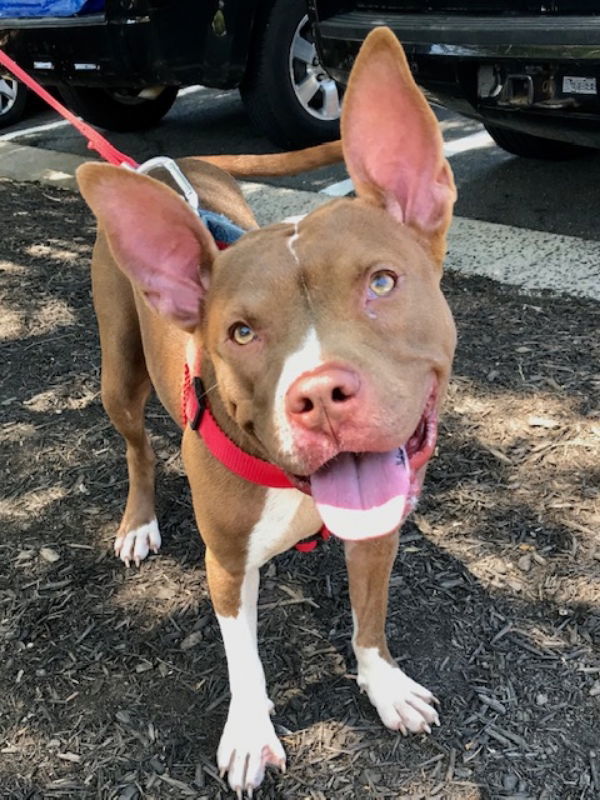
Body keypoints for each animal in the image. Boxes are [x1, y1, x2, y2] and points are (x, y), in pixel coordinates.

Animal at [77, 26, 458, 800]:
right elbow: (244, 659)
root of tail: (169, 164)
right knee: (137, 448)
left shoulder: (377, 535)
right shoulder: (225, 564)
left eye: (382, 283)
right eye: (242, 333)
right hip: (118, 374)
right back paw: (137, 523)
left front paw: (384, 684)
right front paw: (252, 733)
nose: (320, 395)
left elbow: (369, 619)